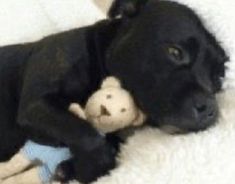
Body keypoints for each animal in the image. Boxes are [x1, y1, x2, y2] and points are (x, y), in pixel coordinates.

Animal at [0, 0, 229, 183]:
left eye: (218, 78)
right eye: (175, 52)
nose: (210, 109)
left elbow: (106, 140)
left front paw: (70, 167)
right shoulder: (35, 104)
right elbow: (86, 133)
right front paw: (93, 168)